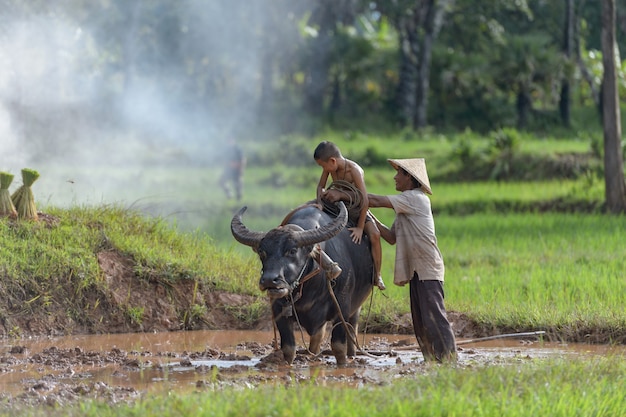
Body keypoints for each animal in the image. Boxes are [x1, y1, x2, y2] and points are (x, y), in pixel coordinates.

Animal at [232, 202, 372, 364]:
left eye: (292, 251)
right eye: (262, 252)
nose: (269, 280)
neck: (310, 289)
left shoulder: (342, 307)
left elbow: (338, 346)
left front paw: (343, 365)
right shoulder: (278, 309)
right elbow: (288, 348)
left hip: (356, 307)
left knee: (352, 329)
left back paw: (352, 355)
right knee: (316, 339)